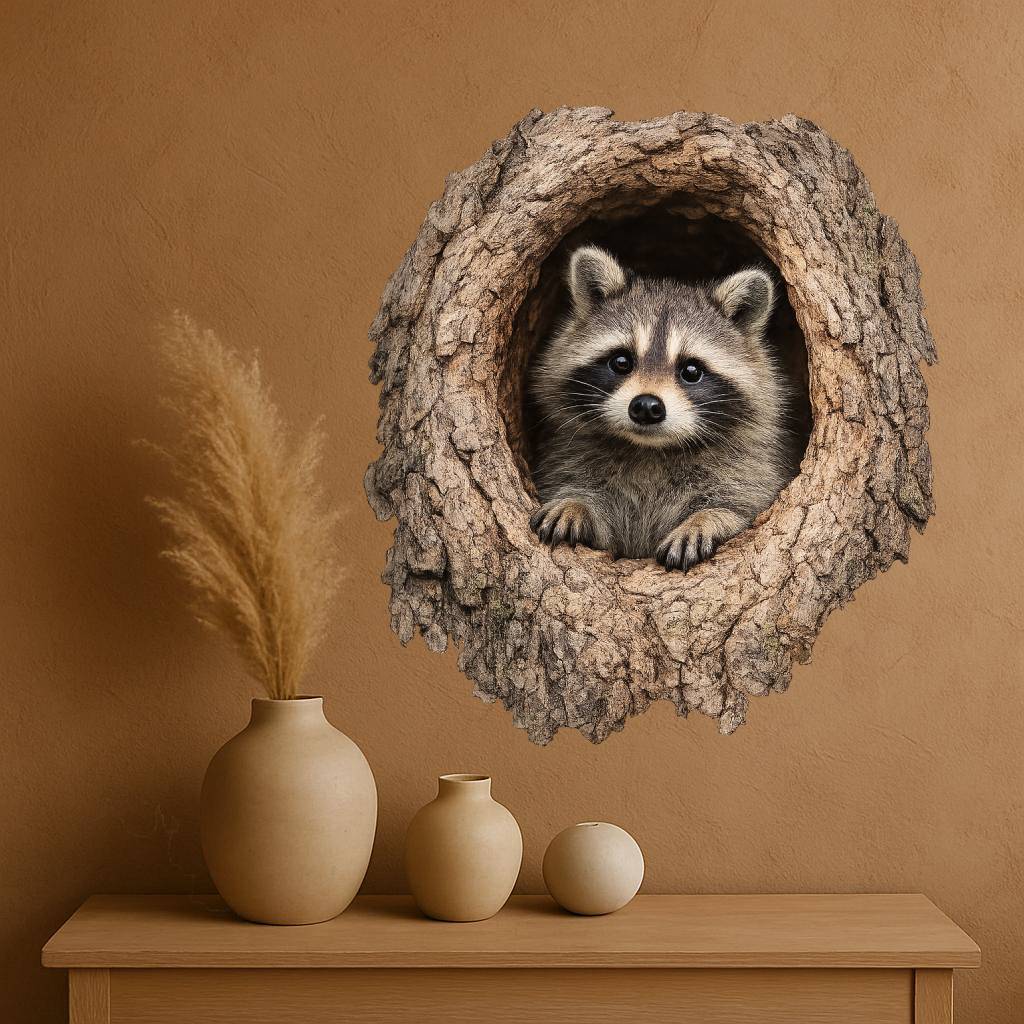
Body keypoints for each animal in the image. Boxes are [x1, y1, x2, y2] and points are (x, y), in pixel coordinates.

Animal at [529, 245, 796, 571]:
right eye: (621, 362)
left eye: (691, 371)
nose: (646, 406)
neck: (651, 449)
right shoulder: (567, 458)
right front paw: (575, 503)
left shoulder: (752, 467)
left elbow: (746, 511)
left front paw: (707, 519)